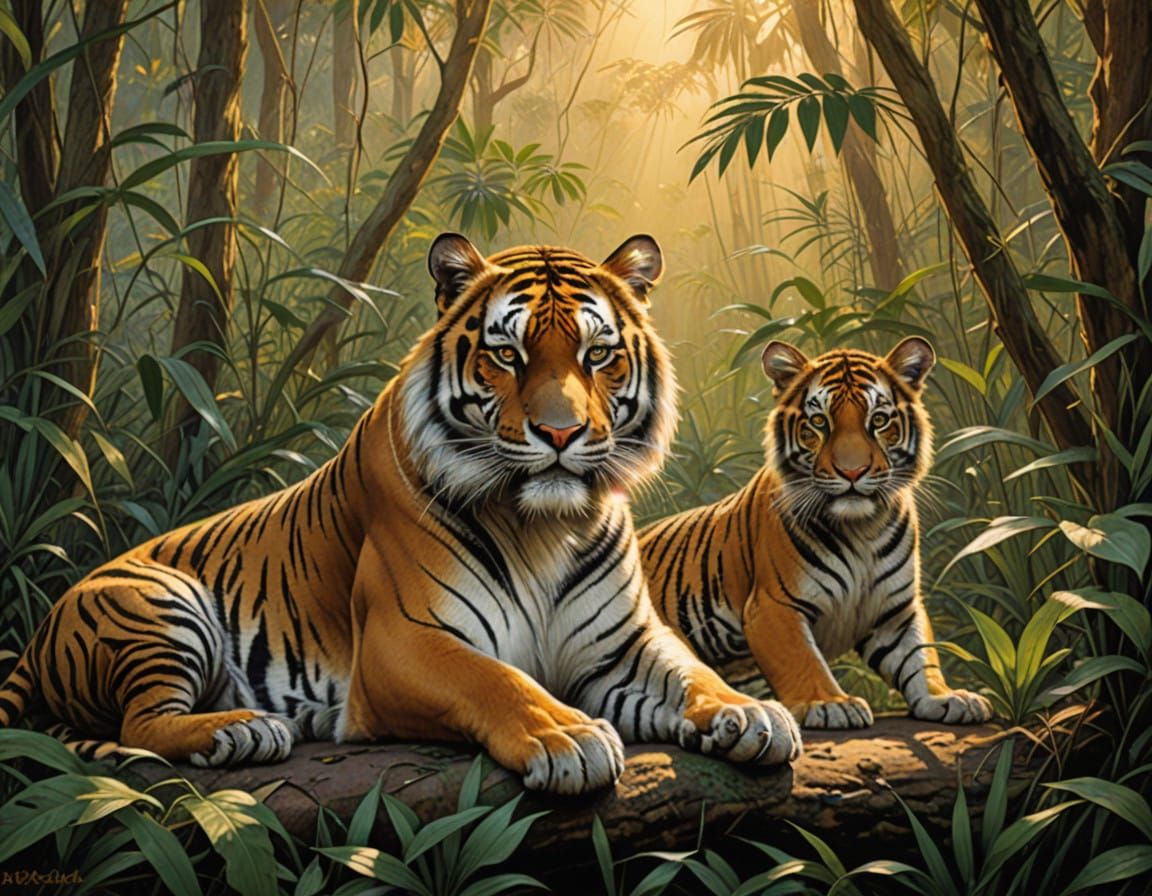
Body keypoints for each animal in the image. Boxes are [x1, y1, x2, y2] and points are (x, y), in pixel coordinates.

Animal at [0, 233, 801, 794]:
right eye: (507, 355)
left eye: (597, 354)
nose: (561, 433)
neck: (544, 526)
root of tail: (37, 634)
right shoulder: (404, 641)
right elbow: (497, 680)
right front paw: (566, 737)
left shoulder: (623, 645)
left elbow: (691, 675)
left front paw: (754, 713)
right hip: (158, 603)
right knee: (141, 721)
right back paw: (246, 730)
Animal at [639, 338, 993, 730]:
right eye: (820, 422)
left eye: (879, 420)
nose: (852, 472)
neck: (863, 529)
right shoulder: (774, 606)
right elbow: (803, 660)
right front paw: (830, 704)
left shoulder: (897, 611)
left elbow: (922, 656)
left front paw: (947, 697)